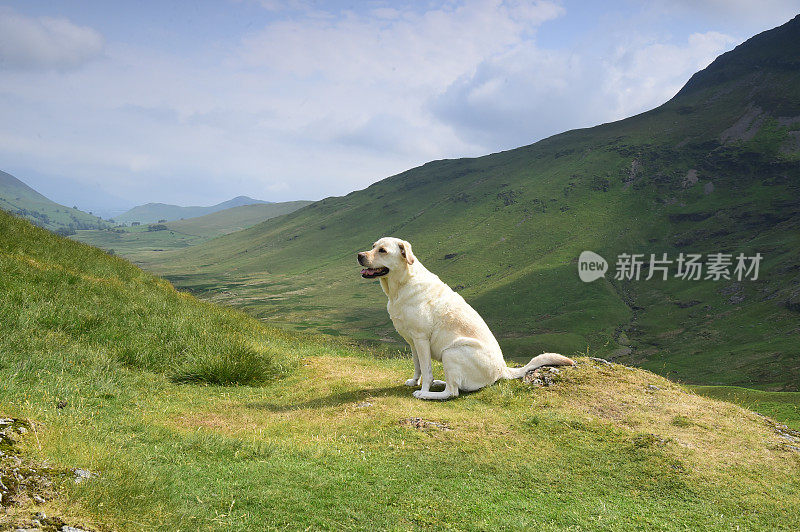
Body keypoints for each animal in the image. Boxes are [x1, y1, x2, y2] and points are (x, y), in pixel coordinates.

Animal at [358, 237, 576, 400]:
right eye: (373, 246)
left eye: (383, 251)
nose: (359, 256)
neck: (400, 286)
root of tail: (502, 370)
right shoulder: (412, 342)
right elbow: (418, 366)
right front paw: (414, 381)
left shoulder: (421, 339)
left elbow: (427, 371)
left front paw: (423, 388)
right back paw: (439, 382)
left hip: (451, 352)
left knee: (452, 392)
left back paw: (428, 394)